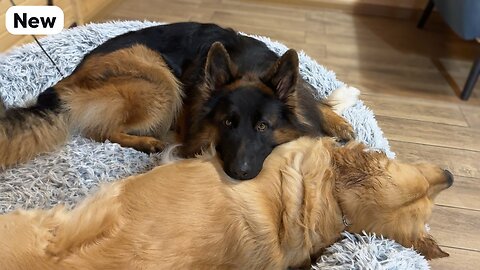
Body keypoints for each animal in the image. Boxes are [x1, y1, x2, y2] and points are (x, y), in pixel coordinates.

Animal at [0, 22, 354, 179]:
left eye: (263, 126)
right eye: (227, 123)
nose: (238, 173)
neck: (250, 66)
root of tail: (63, 83)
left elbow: (316, 102)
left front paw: (338, 123)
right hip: (160, 79)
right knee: (100, 131)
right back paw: (147, 142)